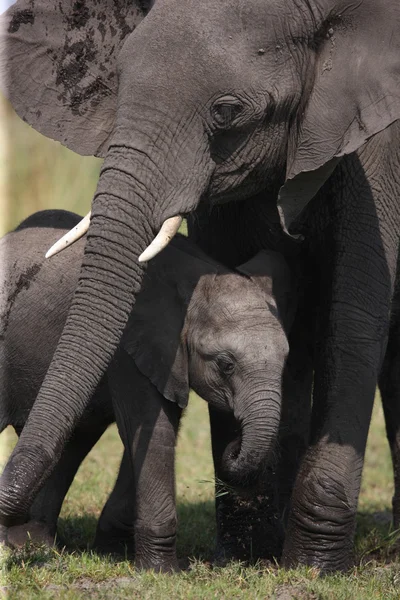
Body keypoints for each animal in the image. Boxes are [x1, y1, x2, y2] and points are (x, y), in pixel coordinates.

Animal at [0, 211, 294, 572]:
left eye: (285, 360)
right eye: (225, 364)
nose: (233, 446)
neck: (198, 277)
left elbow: (152, 430)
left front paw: (114, 551)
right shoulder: (130, 345)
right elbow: (153, 430)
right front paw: (162, 571)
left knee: (72, 443)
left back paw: (30, 544)